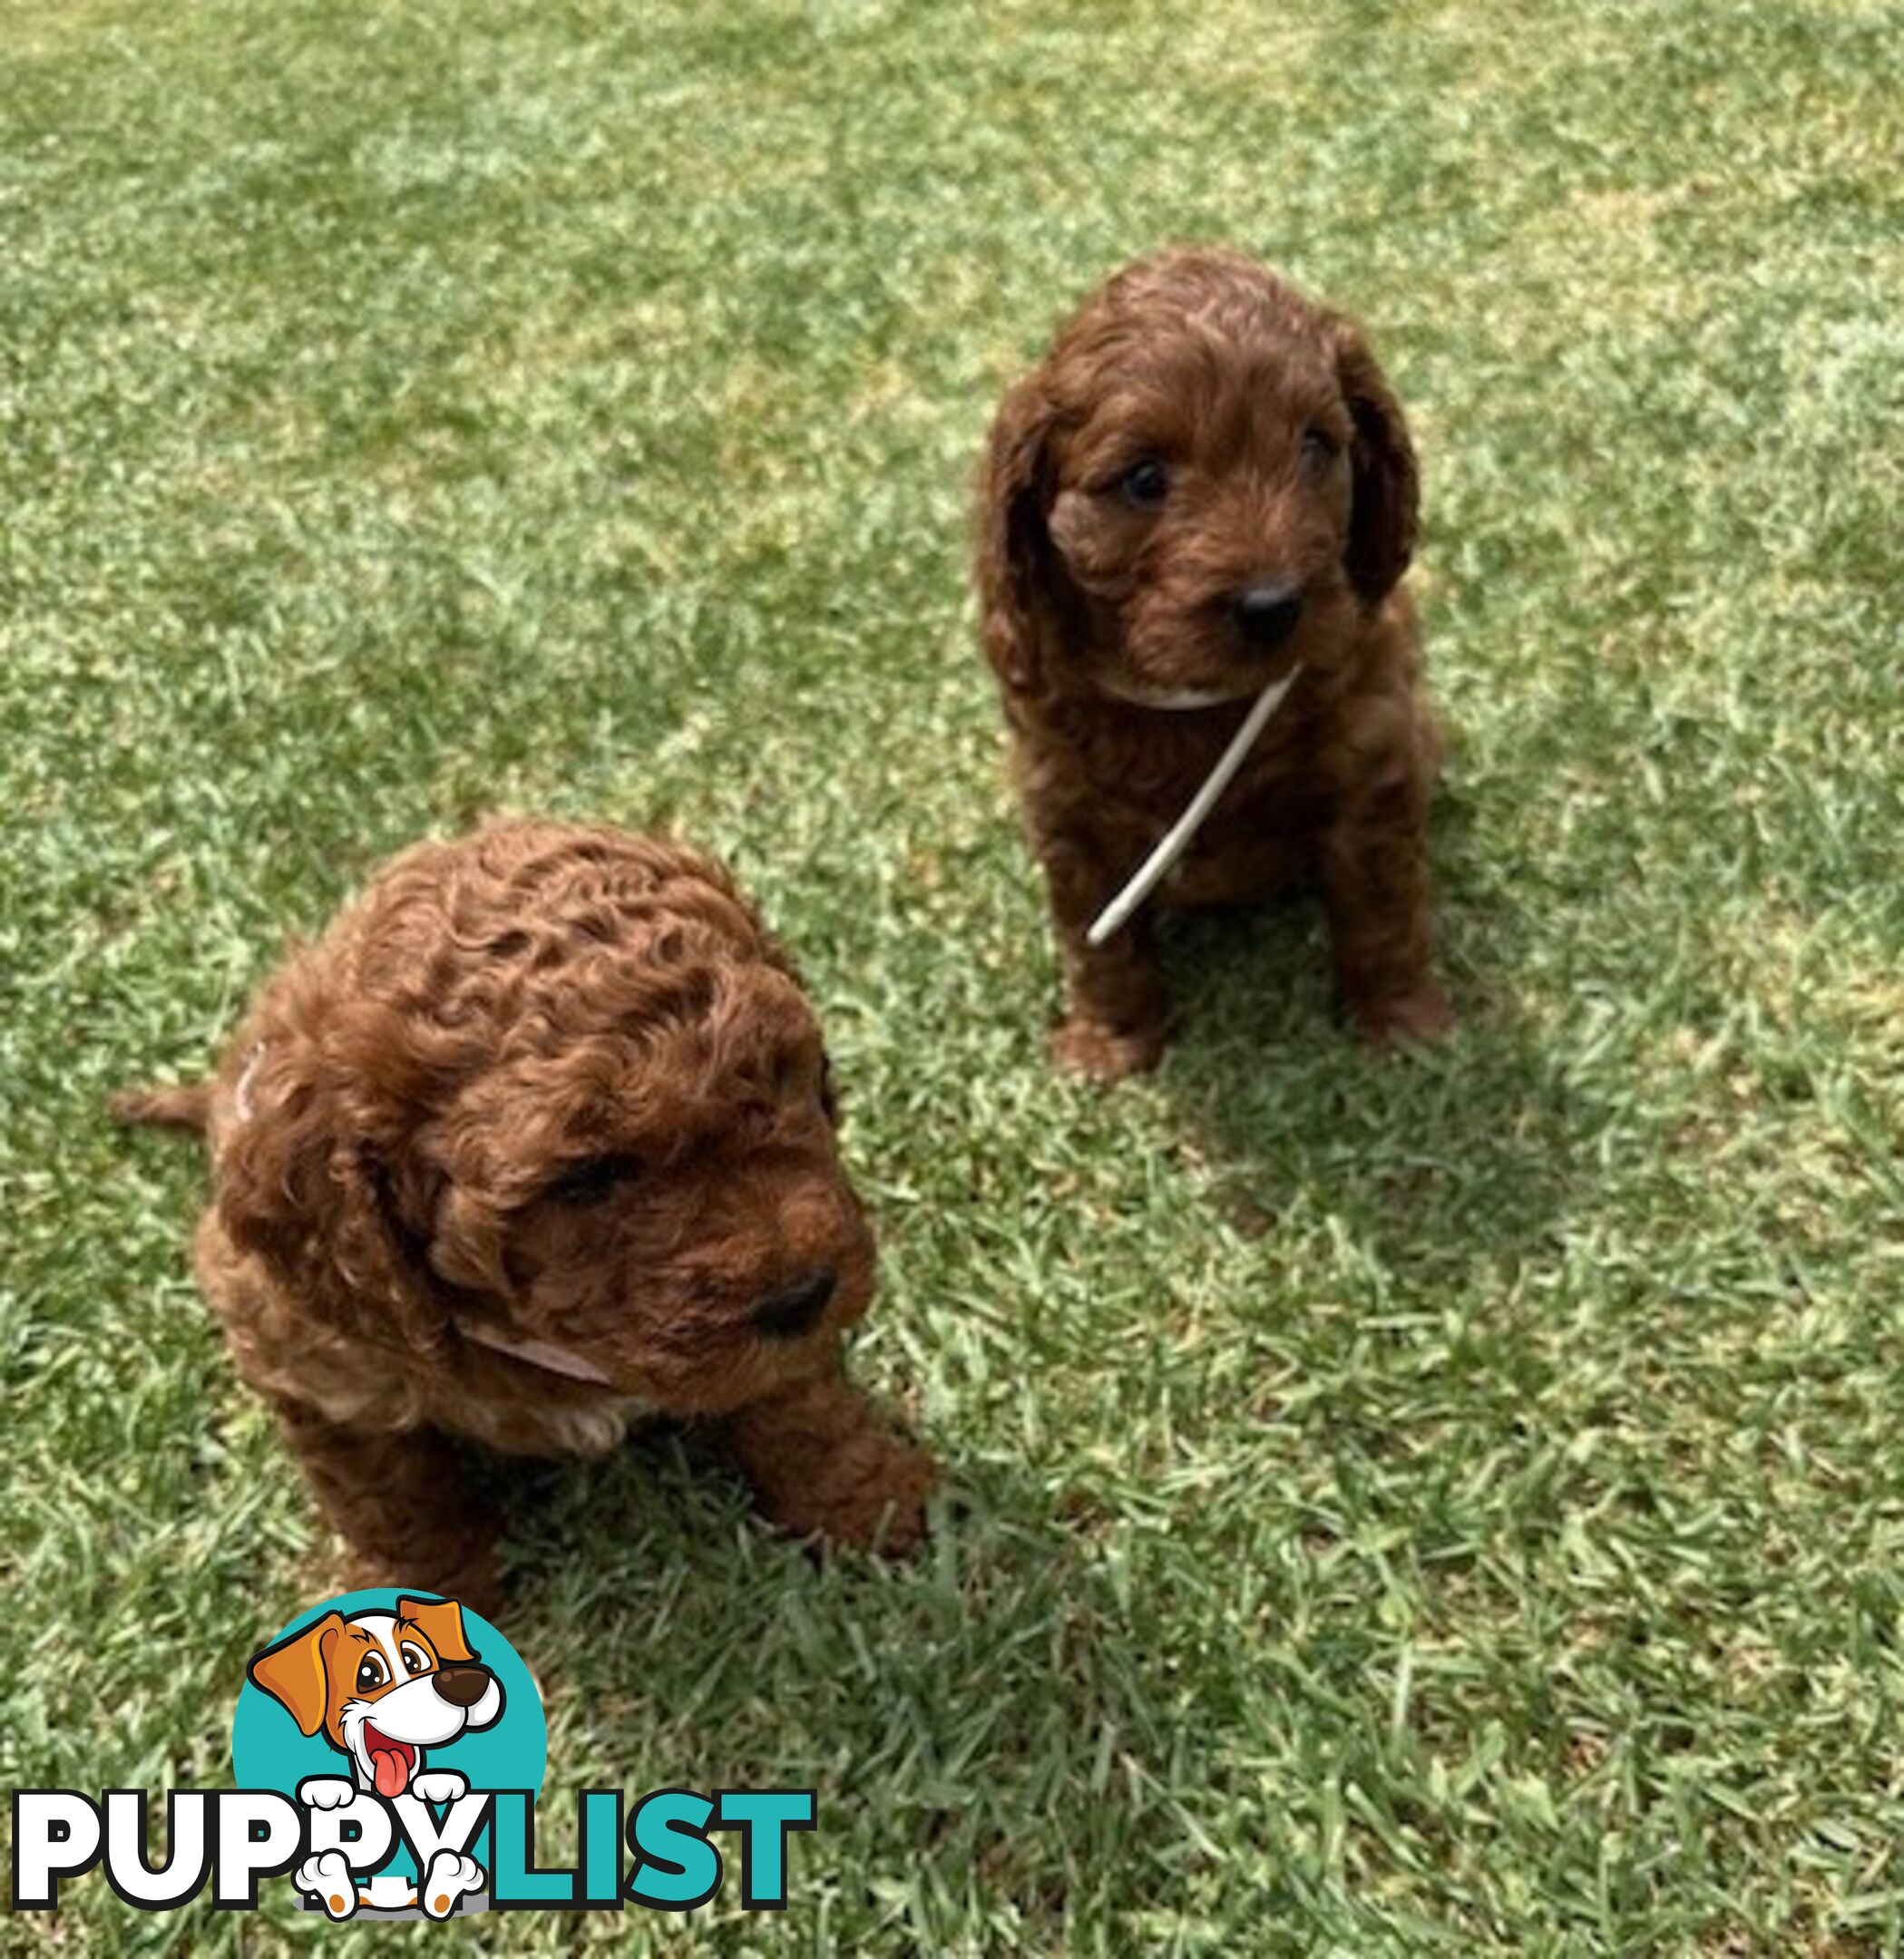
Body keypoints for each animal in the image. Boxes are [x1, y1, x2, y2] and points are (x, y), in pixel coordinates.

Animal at [114, 818, 932, 1613]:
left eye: (795, 1076)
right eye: (587, 1176)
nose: (804, 1295)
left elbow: (801, 1402)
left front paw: (870, 1502)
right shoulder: (312, 1362)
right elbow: (392, 1495)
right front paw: (424, 1586)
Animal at [975, 249, 1450, 1088]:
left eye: (1315, 447)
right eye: (1143, 480)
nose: (1271, 605)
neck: (1199, 704)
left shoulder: (1372, 764)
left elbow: (1383, 906)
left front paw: (1402, 1023)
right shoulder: (1063, 804)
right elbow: (1096, 944)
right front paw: (1110, 1043)